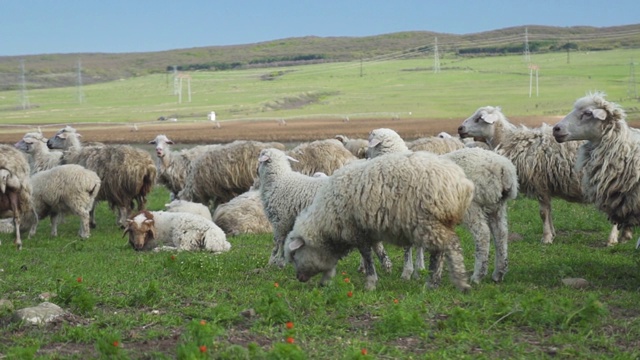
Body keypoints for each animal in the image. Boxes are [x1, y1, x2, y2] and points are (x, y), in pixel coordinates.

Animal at [284, 150, 476, 292]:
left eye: (295, 255)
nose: (299, 278)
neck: (326, 220)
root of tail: (461, 183)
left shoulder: (355, 231)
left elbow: (367, 256)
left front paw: (370, 283)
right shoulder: (368, 229)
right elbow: (377, 250)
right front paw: (386, 267)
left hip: (429, 221)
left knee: (451, 246)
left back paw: (455, 282)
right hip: (441, 222)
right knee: (441, 251)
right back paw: (435, 282)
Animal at [364, 129, 520, 284]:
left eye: (370, 138)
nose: (365, 156)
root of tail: (503, 169)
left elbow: (408, 247)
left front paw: (407, 272)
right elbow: (418, 244)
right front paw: (419, 269)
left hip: (473, 206)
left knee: (482, 235)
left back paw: (477, 276)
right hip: (497, 206)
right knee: (501, 234)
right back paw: (498, 273)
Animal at [458, 104, 628, 245]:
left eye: (479, 118)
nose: (460, 128)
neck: (509, 140)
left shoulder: (540, 183)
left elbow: (543, 213)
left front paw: (546, 238)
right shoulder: (547, 185)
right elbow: (550, 212)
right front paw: (552, 234)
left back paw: (611, 240)